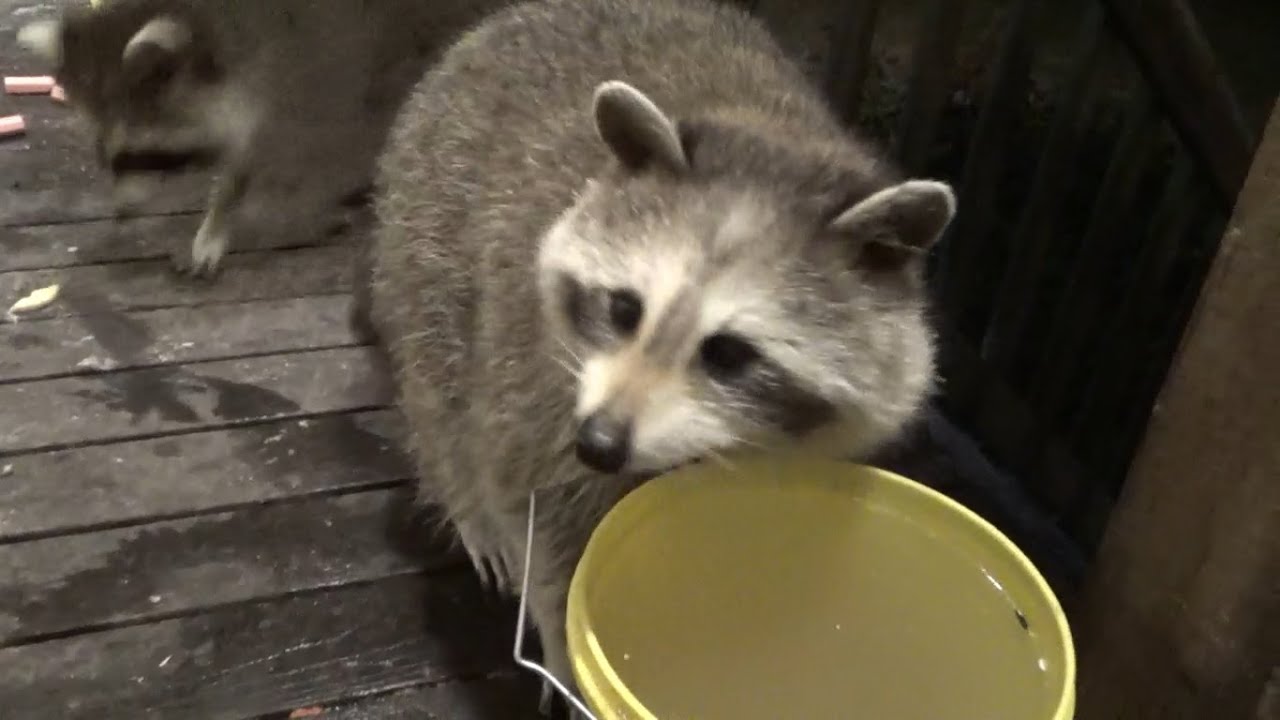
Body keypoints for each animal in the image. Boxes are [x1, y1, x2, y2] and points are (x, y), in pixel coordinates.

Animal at [367, 0, 956, 704]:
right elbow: (537, 511)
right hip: (428, 222)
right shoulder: (533, 375)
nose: (597, 443)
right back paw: (464, 501)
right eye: (625, 309)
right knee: (439, 384)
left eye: (728, 353)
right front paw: (562, 643)